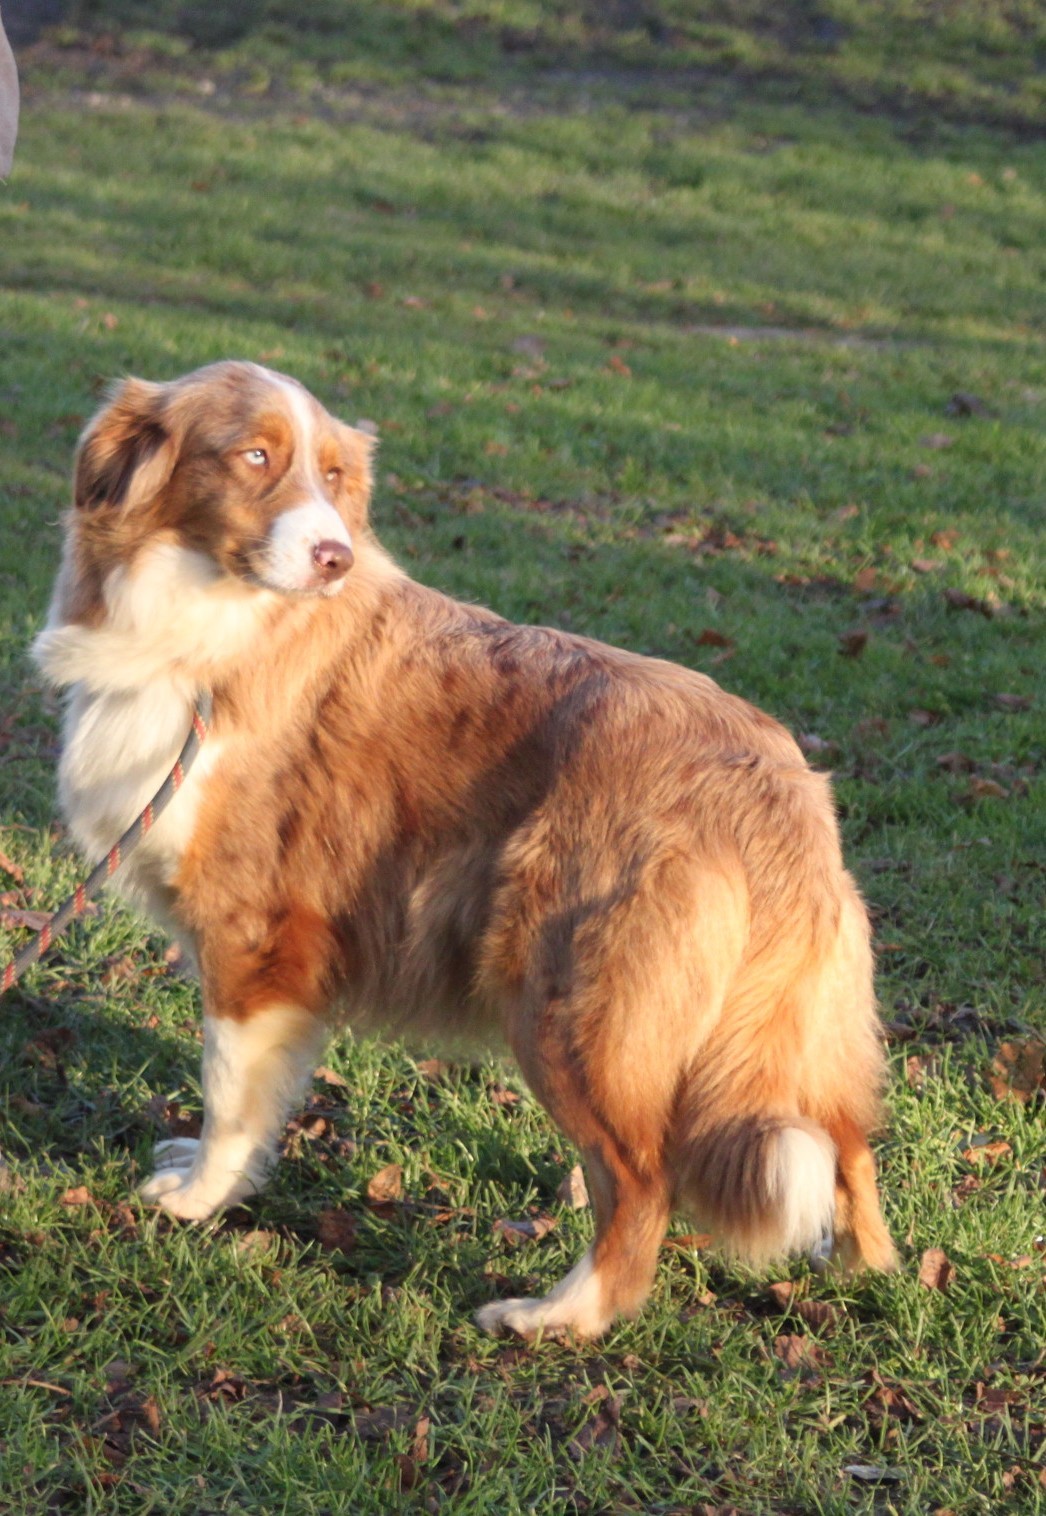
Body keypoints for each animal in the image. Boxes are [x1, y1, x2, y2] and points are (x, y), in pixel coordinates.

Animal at [34, 361, 897, 1339]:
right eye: (255, 456)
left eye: (332, 476)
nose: (334, 557)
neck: (219, 620)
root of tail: (777, 784)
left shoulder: (253, 936)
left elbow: (228, 1091)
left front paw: (198, 1200)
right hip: (798, 1024)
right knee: (848, 1146)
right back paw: (855, 1264)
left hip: (568, 1009)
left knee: (641, 1183)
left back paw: (557, 1316)